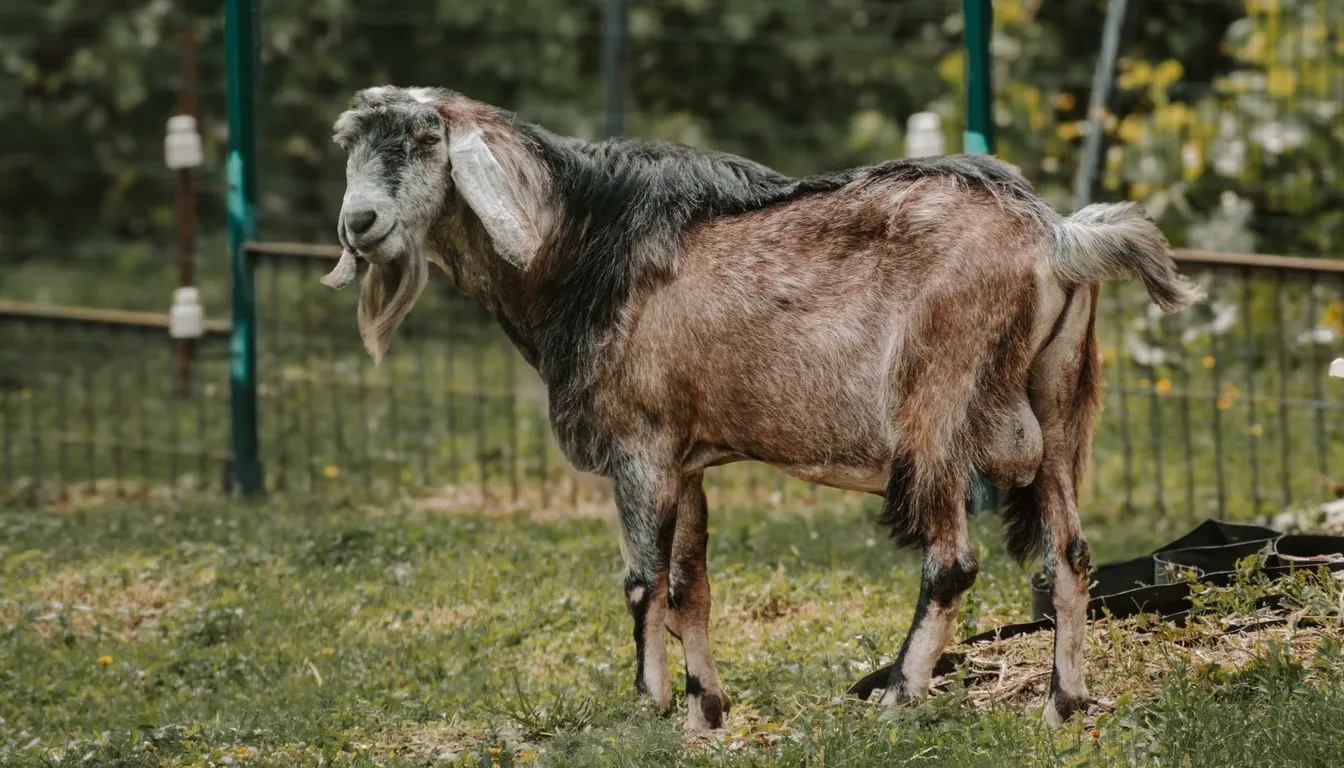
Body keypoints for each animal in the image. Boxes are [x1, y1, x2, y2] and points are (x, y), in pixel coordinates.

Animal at [324, 85, 1202, 732]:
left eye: (424, 141)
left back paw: (897, 696)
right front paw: (707, 711)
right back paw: (1063, 705)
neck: (579, 242)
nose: (359, 223)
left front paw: (648, 706)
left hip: (936, 409)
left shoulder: (639, 446)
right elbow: (692, 585)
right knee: (1071, 554)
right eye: (349, 145)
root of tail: (1057, 237)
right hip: (1059, 407)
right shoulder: (688, 458)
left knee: (951, 560)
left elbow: (642, 580)